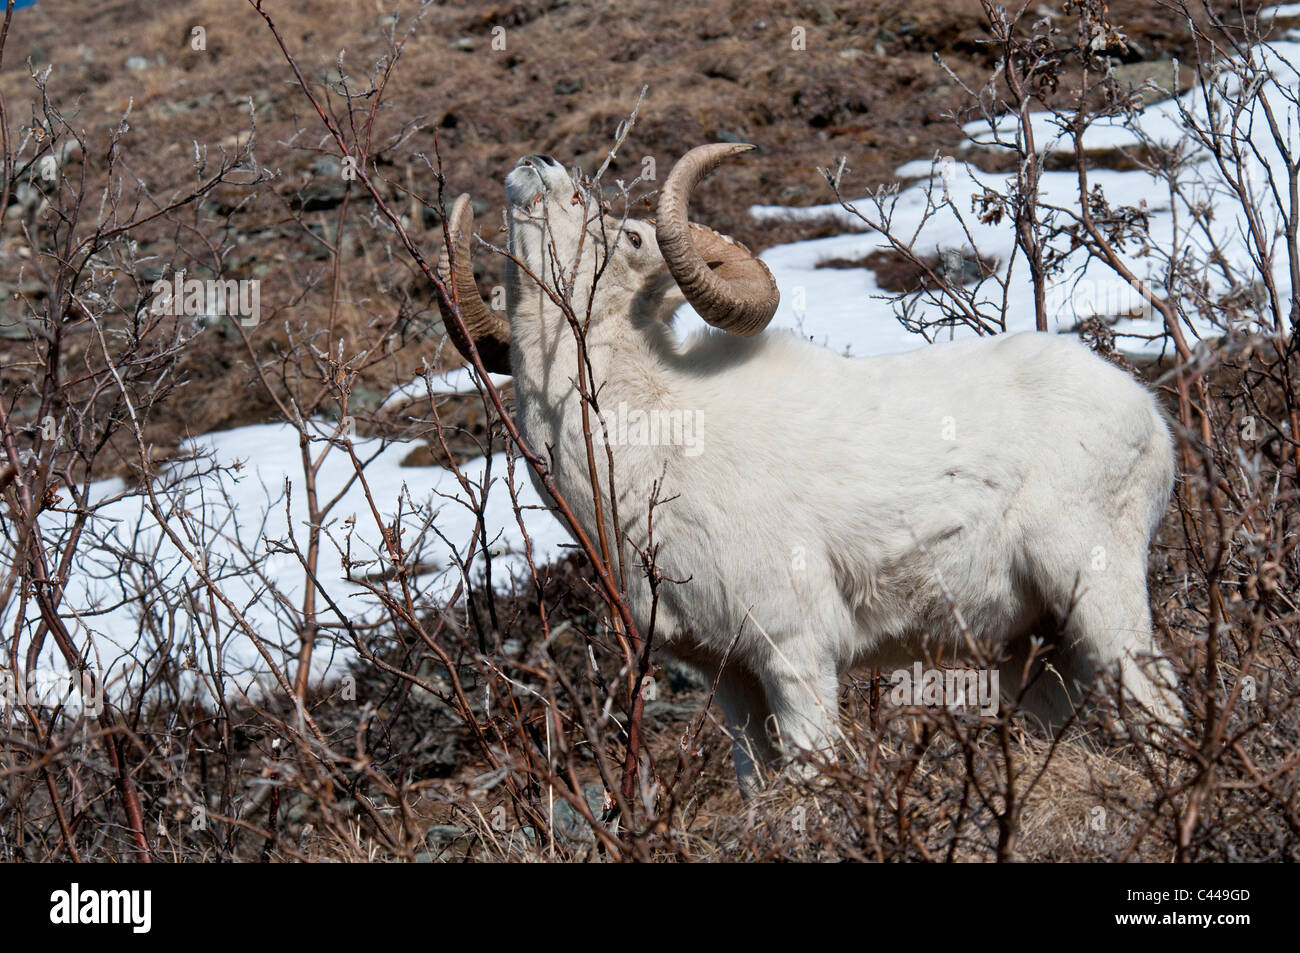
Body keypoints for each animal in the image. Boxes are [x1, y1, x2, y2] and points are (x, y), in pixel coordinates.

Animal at [437, 143, 1182, 791]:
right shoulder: (733, 681)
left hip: (1097, 598)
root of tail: (1147, 414)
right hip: (1033, 648)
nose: (541, 166)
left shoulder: (794, 655)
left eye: (630, 238)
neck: (655, 442)